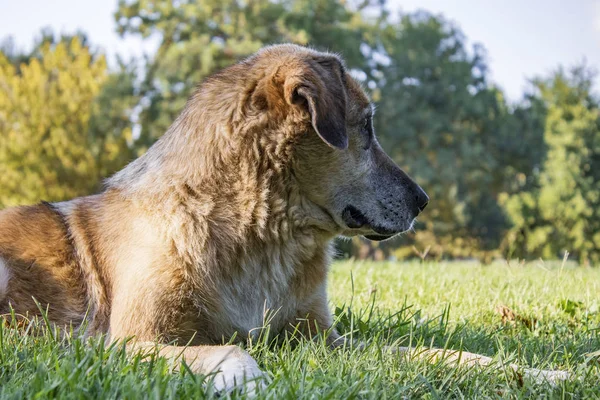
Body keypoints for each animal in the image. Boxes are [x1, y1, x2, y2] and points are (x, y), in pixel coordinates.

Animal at [0, 44, 564, 390]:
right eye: (366, 126)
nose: (423, 200)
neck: (263, 232)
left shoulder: (320, 340)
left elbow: (433, 352)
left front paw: (535, 373)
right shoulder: (130, 342)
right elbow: (232, 351)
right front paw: (247, 379)